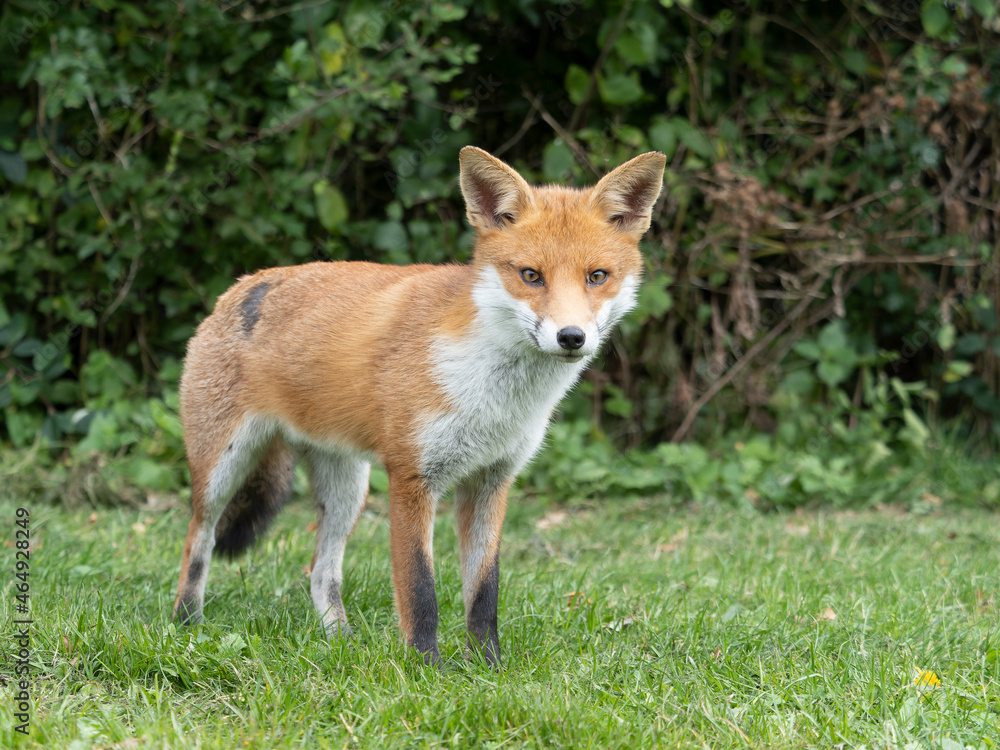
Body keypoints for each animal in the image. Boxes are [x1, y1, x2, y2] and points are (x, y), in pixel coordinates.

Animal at [172, 146, 666, 666]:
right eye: (531, 276)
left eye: (597, 276)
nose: (571, 337)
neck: (492, 393)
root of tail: (242, 284)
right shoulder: (412, 478)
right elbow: (420, 589)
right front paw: (426, 667)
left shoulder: (492, 482)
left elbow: (484, 590)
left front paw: (488, 666)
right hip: (222, 469)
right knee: (197, 541)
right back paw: (187, 627)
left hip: (348, 490)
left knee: (320, 572)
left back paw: (341, 644)